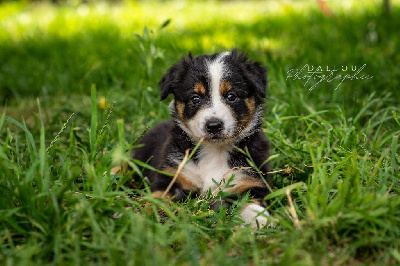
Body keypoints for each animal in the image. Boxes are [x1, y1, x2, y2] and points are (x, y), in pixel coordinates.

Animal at [133, 50, 270, 229]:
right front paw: (139, 215)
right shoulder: (173, 175)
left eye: (231, 96)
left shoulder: (252, 180)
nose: (214, 125)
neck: (214, 150)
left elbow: (248, 201)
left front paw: (258, 218)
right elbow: (156, 198)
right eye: (195, 98)